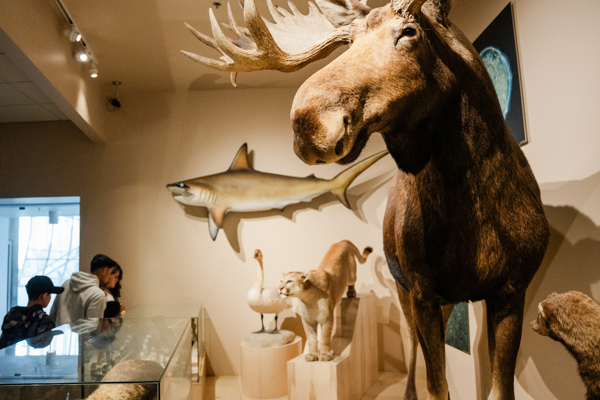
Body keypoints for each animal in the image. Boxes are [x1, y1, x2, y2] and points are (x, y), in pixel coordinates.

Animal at [182, 0, 548, 396]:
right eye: (349, 44)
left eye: (410, 31)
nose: (308, 123)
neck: (472, 223)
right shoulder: (422, 291)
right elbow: (437, 385)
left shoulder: (511, 291)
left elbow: (500, 389)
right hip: (409, 293)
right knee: (413, 346)